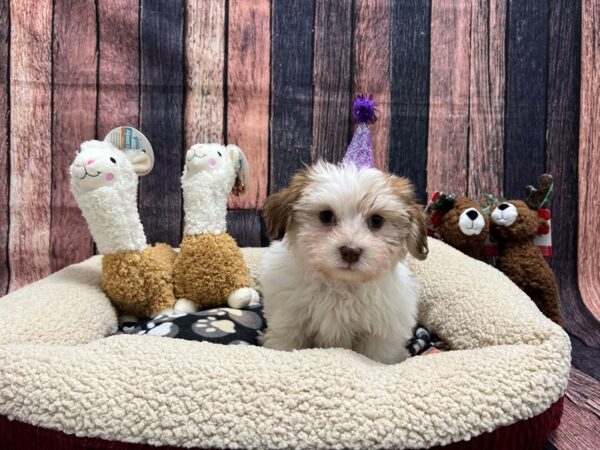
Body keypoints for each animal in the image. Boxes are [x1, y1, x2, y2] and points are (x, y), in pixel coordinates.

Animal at [260, 162, 428, 362]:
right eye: (326, 216)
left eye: (376, 220)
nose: (351, 252)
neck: (340, 284)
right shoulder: (288, 320)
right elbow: (285, 343)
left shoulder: (381, 335)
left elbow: (378, 355)